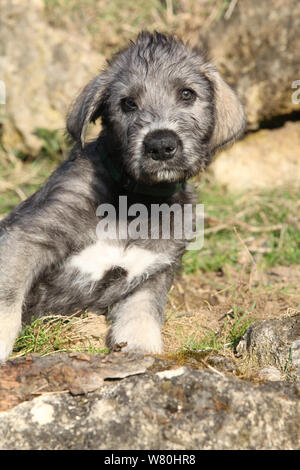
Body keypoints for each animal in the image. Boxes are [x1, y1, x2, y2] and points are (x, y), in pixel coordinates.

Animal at [0, 31, 244, 360]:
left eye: (187, 94)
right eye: (127, 103)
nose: (161, 145)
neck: (137, 201)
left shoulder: (150, 276)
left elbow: (141, 317)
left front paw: (142, 350)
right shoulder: (28, 237)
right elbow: (7, 296)